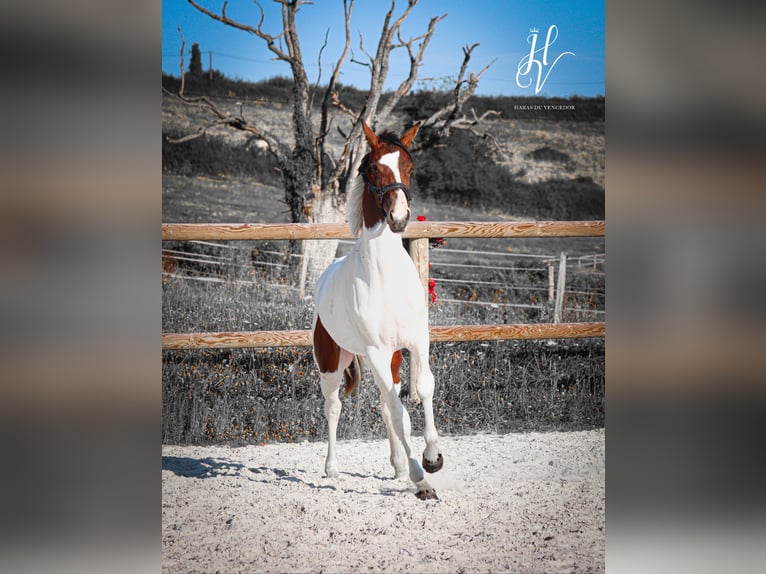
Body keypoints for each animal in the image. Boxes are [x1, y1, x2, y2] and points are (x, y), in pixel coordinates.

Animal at [310, 120, 444, 500]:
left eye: (410, 167)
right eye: (372, 168)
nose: (399, 218)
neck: (384, 276)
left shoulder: (416, 341)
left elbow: (424, 388)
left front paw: (432, 458)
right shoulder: (375, 351)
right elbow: (403, 416)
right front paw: (421, 479)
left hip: (391, 360)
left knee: (386, 402)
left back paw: (397, 466)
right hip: (332, 361)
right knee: (334, 406)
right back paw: (332, 468)